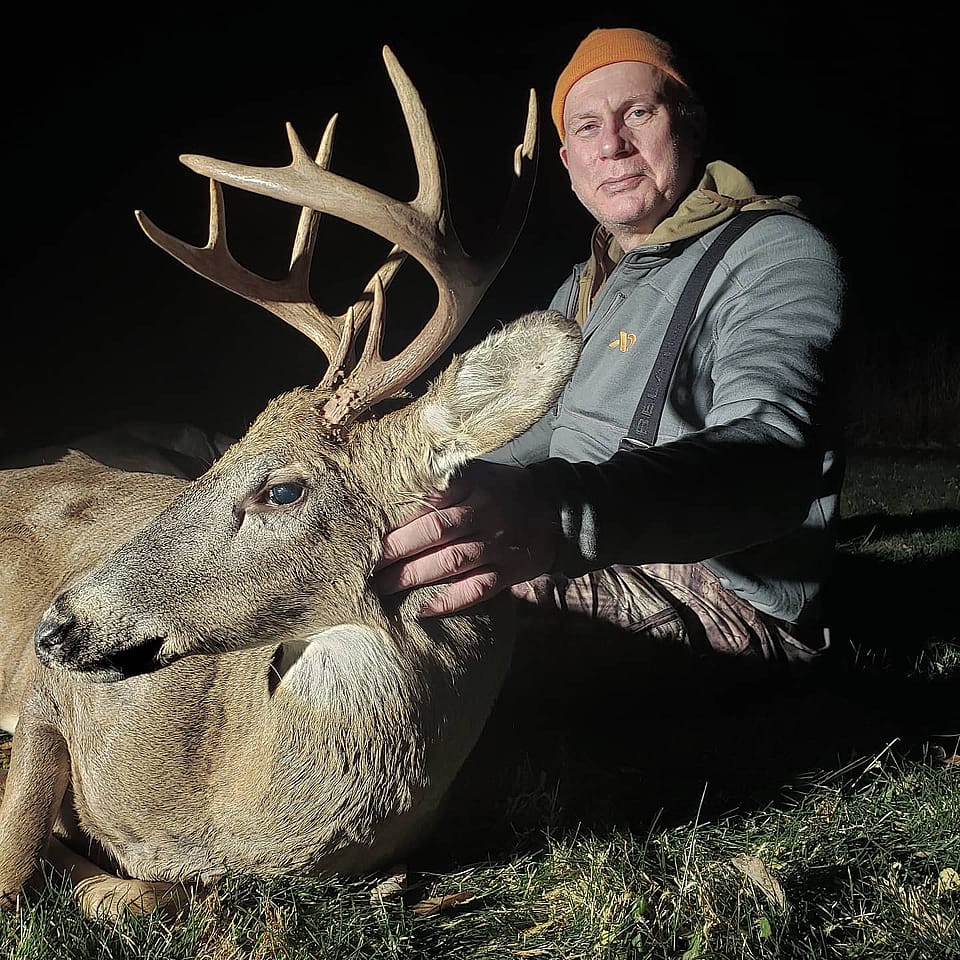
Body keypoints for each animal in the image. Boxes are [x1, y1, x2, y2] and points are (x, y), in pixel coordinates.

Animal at [0, 46, 580, 920]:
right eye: (223, 452)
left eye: (282, 491)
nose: (55, 625)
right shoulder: (42, 695)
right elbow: (12, 871)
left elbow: (138, 893)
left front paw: (106, 877)